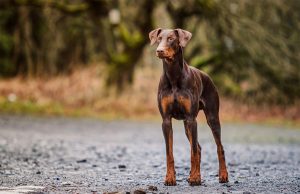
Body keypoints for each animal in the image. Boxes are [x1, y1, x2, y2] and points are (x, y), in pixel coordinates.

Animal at [149, 28, 229, 186]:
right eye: (159, 38)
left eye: (171, 38)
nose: (159, 50)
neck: (173, 76)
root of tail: (206, 75)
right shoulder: (166, 120)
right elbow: (169, 153)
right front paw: (170, 178)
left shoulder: (192, 119)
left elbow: (193, 153)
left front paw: (195, 178)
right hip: (187, 125)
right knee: (198, 147)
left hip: (211, 118)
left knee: (218, 147)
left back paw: (222, 175)